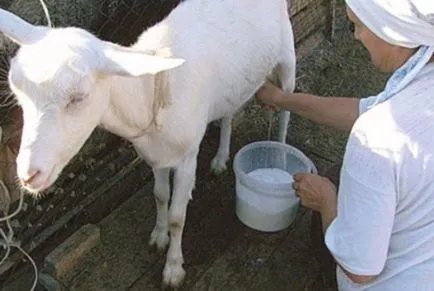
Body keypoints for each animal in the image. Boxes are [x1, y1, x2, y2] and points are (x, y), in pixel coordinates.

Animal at [0, 0, 296, 288]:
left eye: (78, 97)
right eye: (18, 93)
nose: (28, 175)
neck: (150, 92)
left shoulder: (187, 157)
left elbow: (178, 217)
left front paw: (174, 269)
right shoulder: (155, 155)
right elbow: (160, 195)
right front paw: (159, 236)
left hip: (287, 58)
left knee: (285, 109)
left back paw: (280, 157)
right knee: (229, 113)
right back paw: (221, 159)